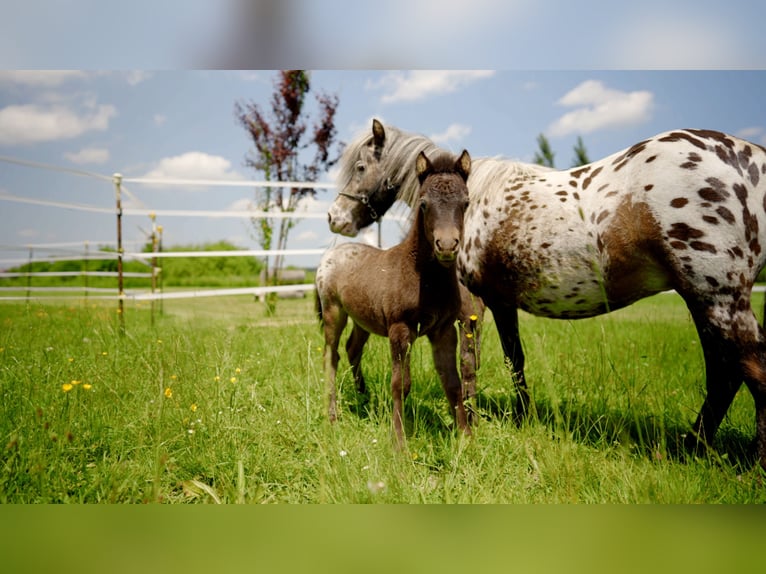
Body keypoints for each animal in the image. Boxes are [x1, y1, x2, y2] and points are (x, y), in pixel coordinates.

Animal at [316, 148, 473, 446]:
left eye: (466, 202)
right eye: (423, 204)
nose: (447, 246)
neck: (425, 277)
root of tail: (330, 255)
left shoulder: (444, 330)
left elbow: (452, 382)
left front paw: (465, 438)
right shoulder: (400, 330)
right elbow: (400, 384)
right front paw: (399, 441)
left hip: (362, 318)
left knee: (352, 349)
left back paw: (364, 399)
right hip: (333, 311)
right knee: (331, 356)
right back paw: (332, 415)